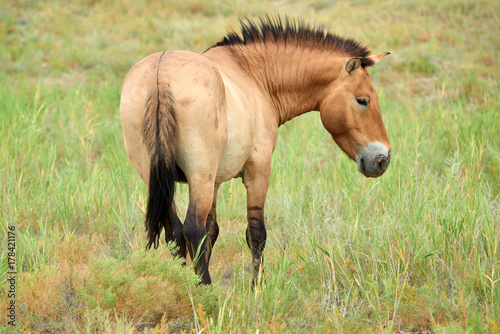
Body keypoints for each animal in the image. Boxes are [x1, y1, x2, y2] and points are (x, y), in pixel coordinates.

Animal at [120, 16, 390, 284]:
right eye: (362, 100)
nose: (382, 159)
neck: (253, 75)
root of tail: (160, 76)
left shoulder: (215, 182)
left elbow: (212, 232)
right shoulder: (258, 170)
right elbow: (255, 233)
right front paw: (256, 287)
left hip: (158, 176)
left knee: (175, 232)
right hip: (199, 176)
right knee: (191, 230)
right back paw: (205, 287)